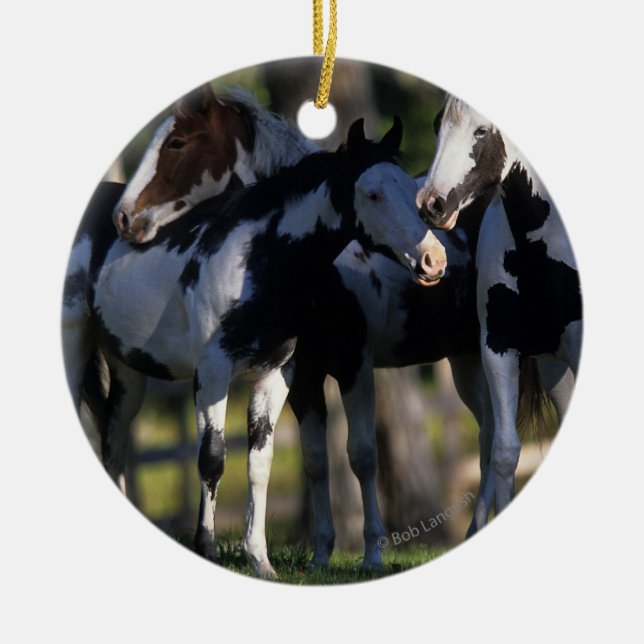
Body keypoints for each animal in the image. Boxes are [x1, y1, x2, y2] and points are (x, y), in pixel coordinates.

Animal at [63, 117, 447, 578]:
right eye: (373, 193)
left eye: (411, 189)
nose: (433, 260)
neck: (258, 260)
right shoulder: (212, 372)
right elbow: (212, 459)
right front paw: (207, 548)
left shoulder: (274, 375)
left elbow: (259, 463)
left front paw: (260, 559)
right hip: (74, 340)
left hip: (128, 370)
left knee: (114, 443)